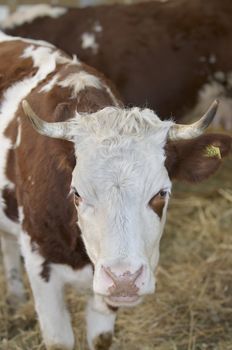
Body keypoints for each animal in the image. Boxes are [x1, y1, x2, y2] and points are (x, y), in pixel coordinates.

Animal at [0, 30, 231, 350]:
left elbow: (100, 338)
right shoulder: (39, 264)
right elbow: (60, 340)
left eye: (161, 193)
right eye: (77, 194)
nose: (124, 279)